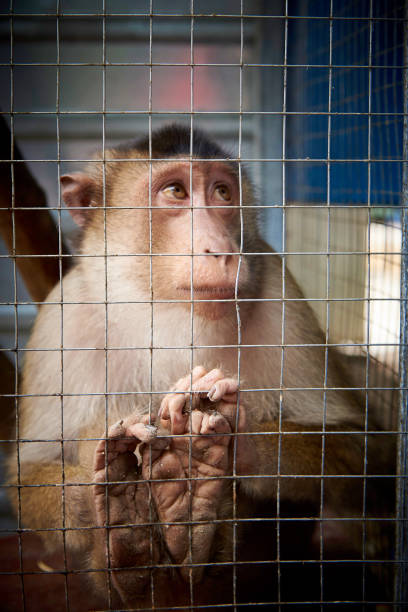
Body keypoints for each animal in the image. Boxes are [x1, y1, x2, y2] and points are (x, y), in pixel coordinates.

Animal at [6, 125, 396, 612]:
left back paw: (191, 523)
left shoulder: (280, 291)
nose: (222, 250)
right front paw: (110, 475)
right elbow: (30, 472)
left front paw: (234, 439)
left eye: (223, 193)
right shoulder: (64, 315)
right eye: (175, 191)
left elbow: (352, 441)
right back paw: (134, 542)